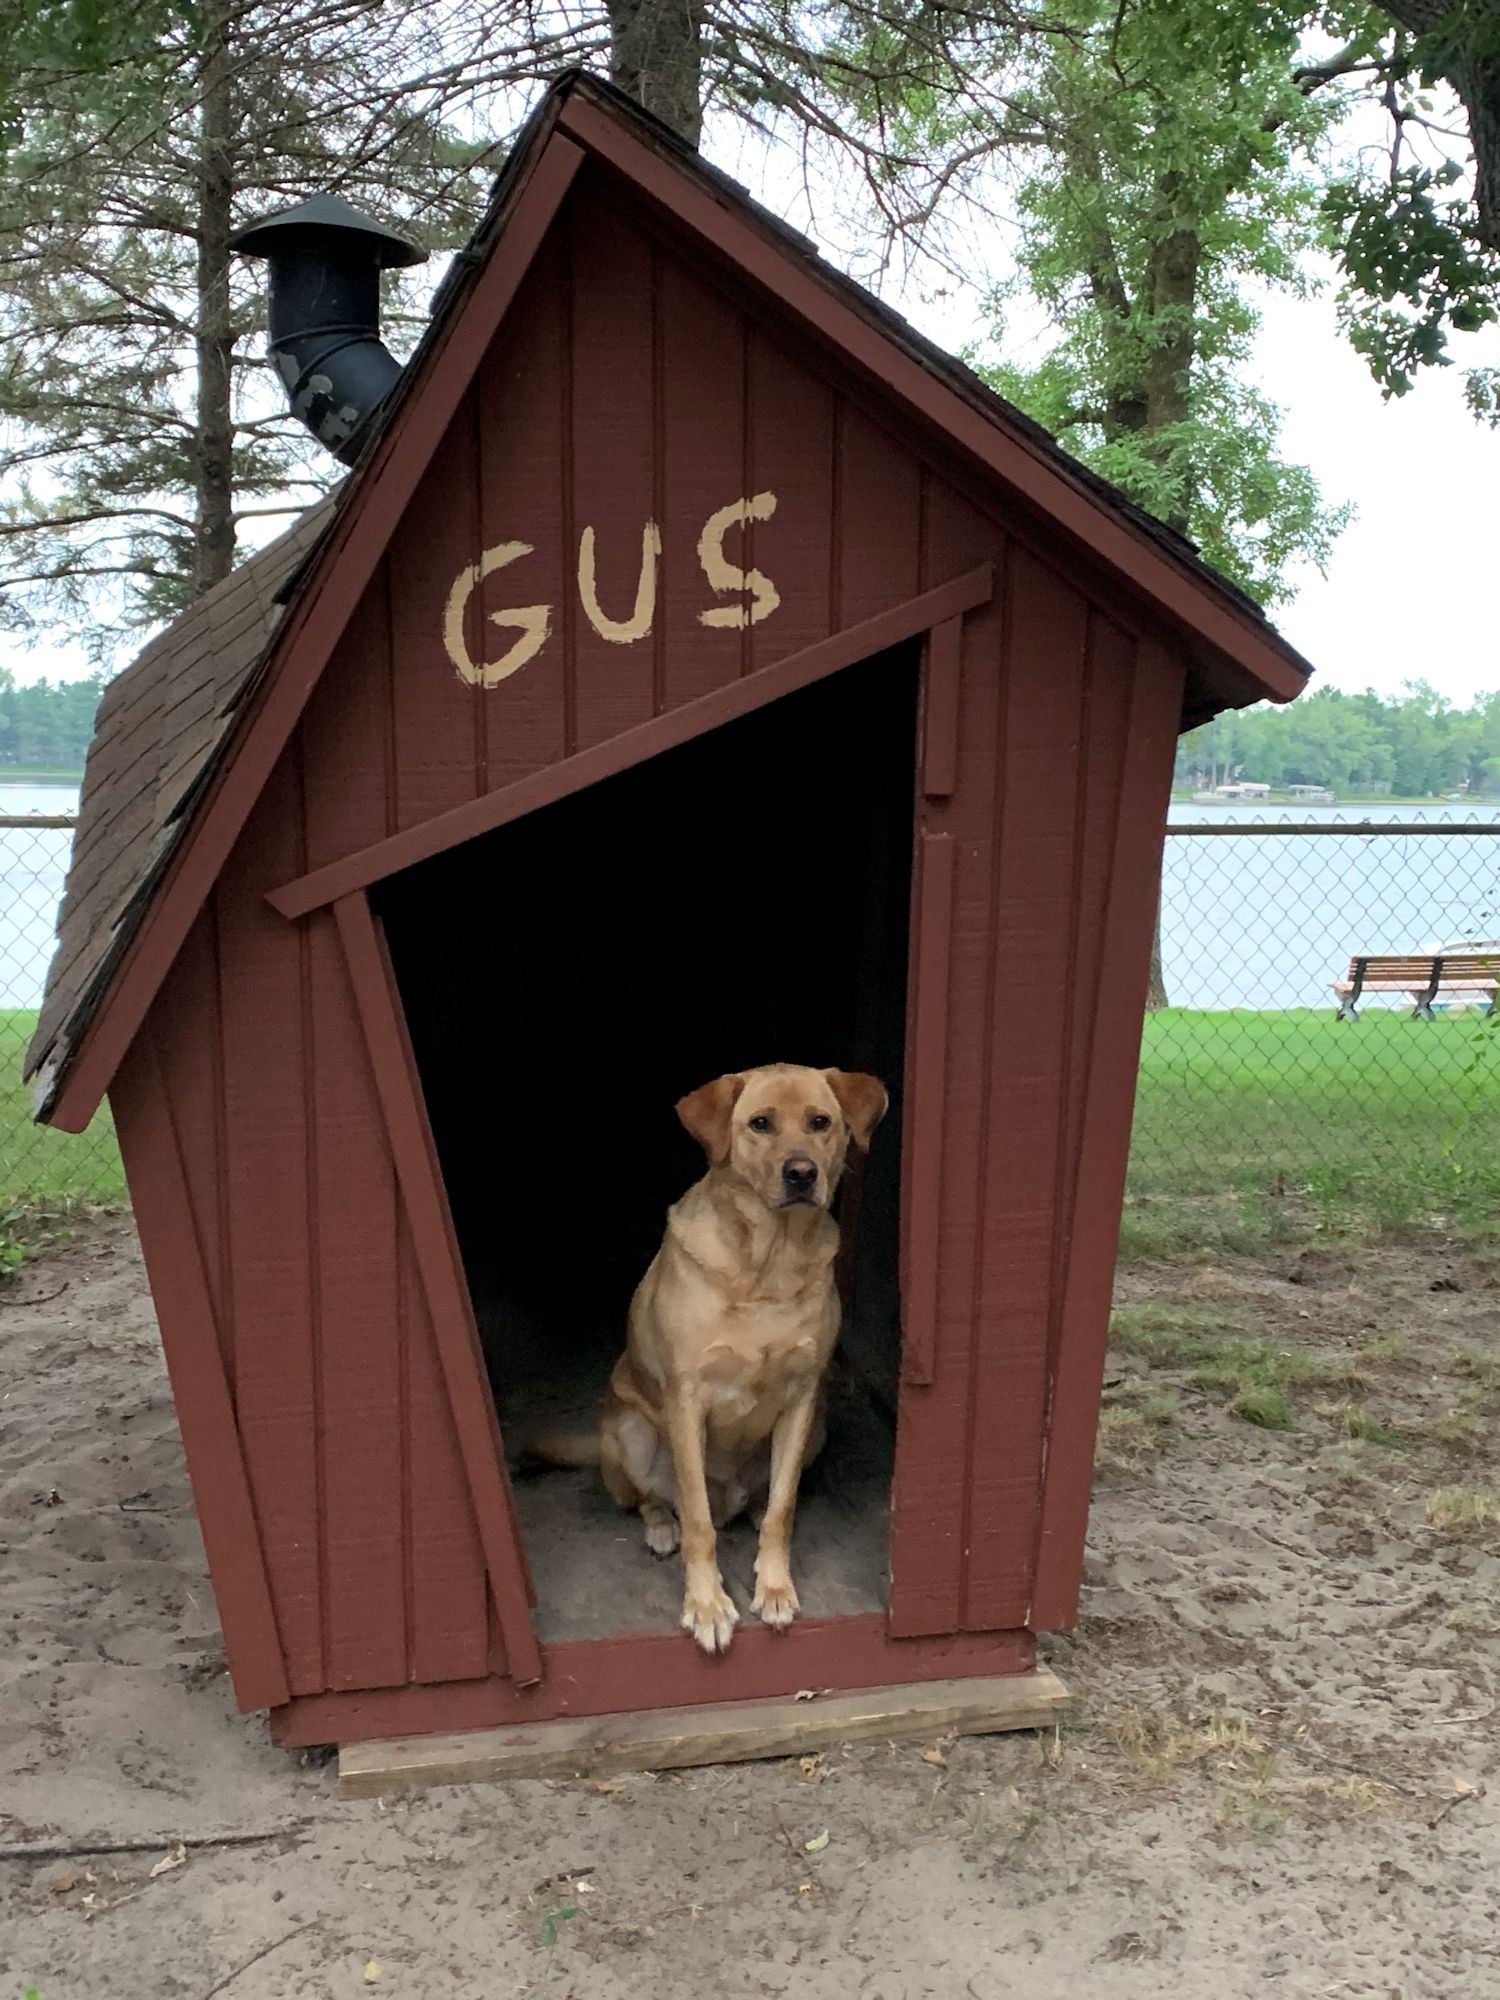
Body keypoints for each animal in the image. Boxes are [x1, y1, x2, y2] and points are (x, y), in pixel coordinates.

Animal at [544, 1072, 888, 1648]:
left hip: (816, 1430)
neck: (771, 1260)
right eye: (760, 1123)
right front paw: (705, 1604)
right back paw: (663, 1527)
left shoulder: (802, 1398)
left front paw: (775, 1586)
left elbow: (783, 1508)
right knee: (655, 1500)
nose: (802, 1172)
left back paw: (751, 1508)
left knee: (763, 1499)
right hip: (630, 1432)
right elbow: (698, 1522)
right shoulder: (687, 1402)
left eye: (820, 1122)